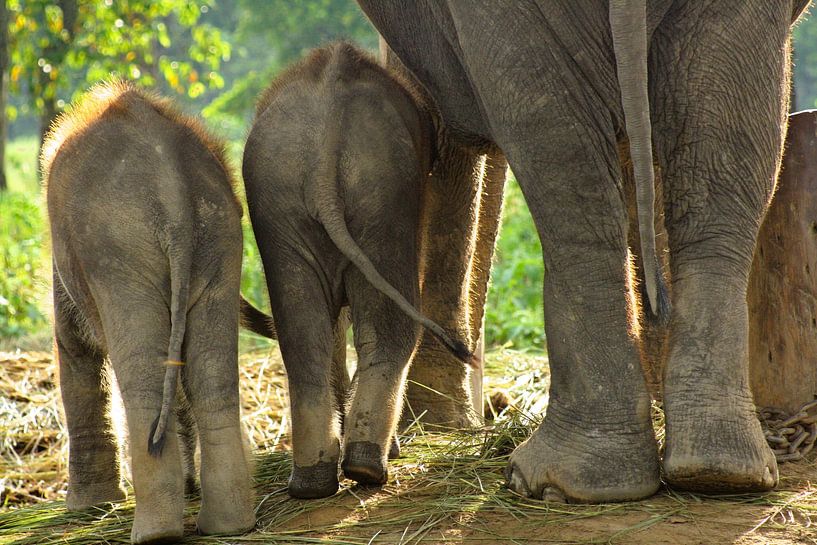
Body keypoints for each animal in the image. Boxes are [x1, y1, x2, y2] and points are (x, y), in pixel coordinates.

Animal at [41, 82, 256, 544]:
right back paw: (228, 524)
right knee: (211, 375)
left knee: (143, 377)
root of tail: (172, 192)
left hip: (120, 255)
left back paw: (154, 533)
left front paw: (88, 506)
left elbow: (76, 349)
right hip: (220, 239)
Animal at [242, 42, 472, 500]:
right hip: (382, 198)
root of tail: (326, 149)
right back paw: (369, 469)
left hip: (282, 202)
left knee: (304, 335)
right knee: (391, 328)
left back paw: (312, 483)